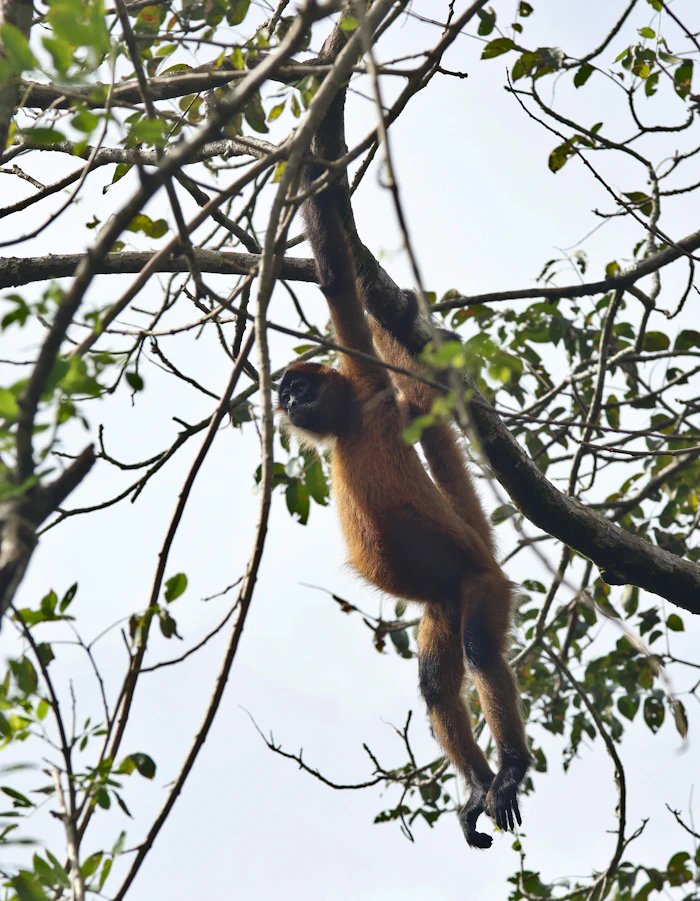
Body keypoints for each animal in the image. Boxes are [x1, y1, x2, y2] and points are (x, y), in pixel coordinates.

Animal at [276, 167, 531, 849]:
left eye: (299, 387)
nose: (287, 402)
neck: (347, 425)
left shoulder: (367, 379)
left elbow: (339, 282)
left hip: (482, 585)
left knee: (480, 650)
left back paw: (510, 768)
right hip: (443, 602)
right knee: (436, 685)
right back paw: (478, 786)